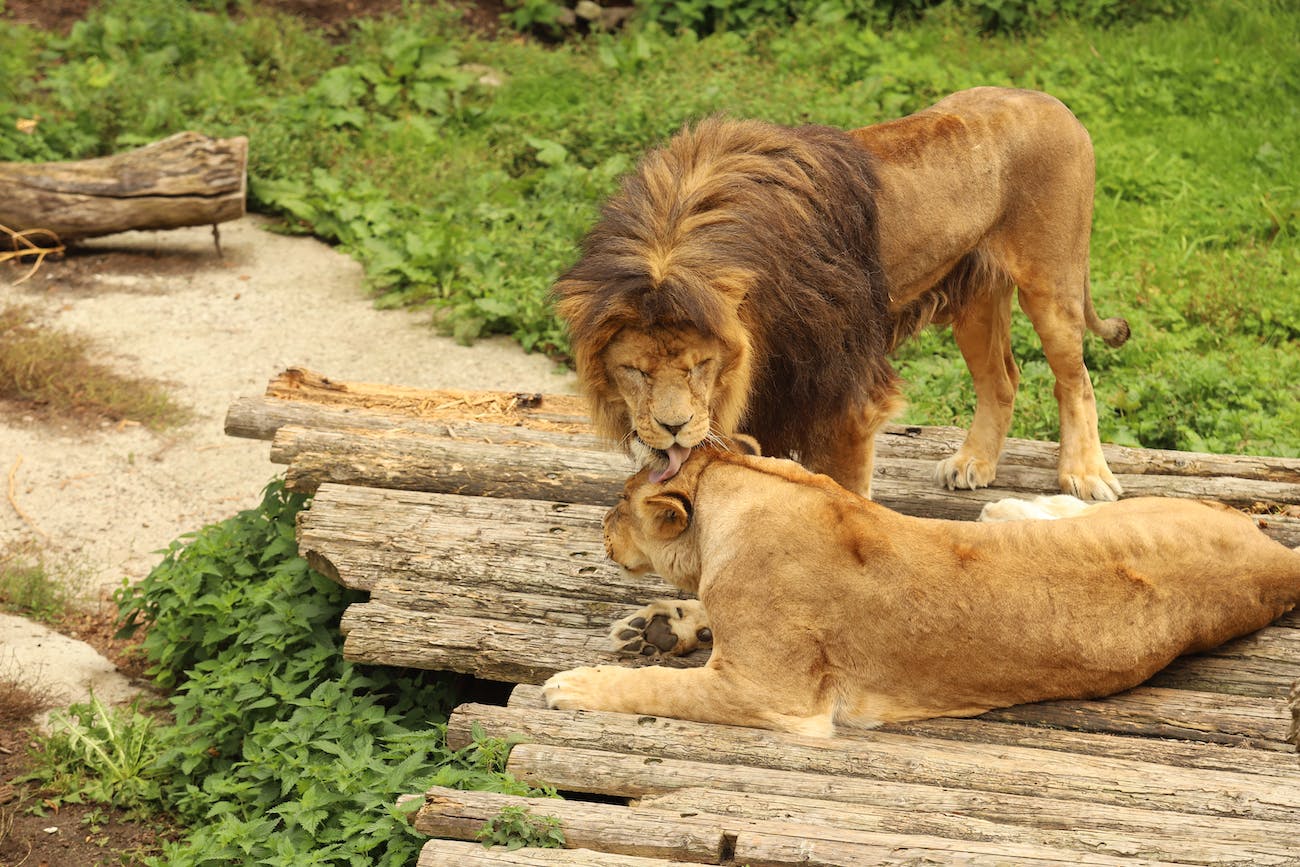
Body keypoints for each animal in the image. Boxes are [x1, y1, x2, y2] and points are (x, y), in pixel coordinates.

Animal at [540, 447, 1300, 738]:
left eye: (619, 502)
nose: (601, 525)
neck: (744, 484)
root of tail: (1276, 561)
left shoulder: (769, 695)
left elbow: (659, 689)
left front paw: (574, 685)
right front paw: (659, 626)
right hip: (1148, 516)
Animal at [553, 86, 1133, 501]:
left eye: (700, 366)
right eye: (634, 371)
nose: (671, 430)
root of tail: (1054, 102)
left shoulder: (848, 397)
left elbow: (842, 491)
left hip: (1052, 281)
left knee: (1074, 379)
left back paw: (1085, 474)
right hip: (974, 298)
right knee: (1002, 380)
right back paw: (975, 463)